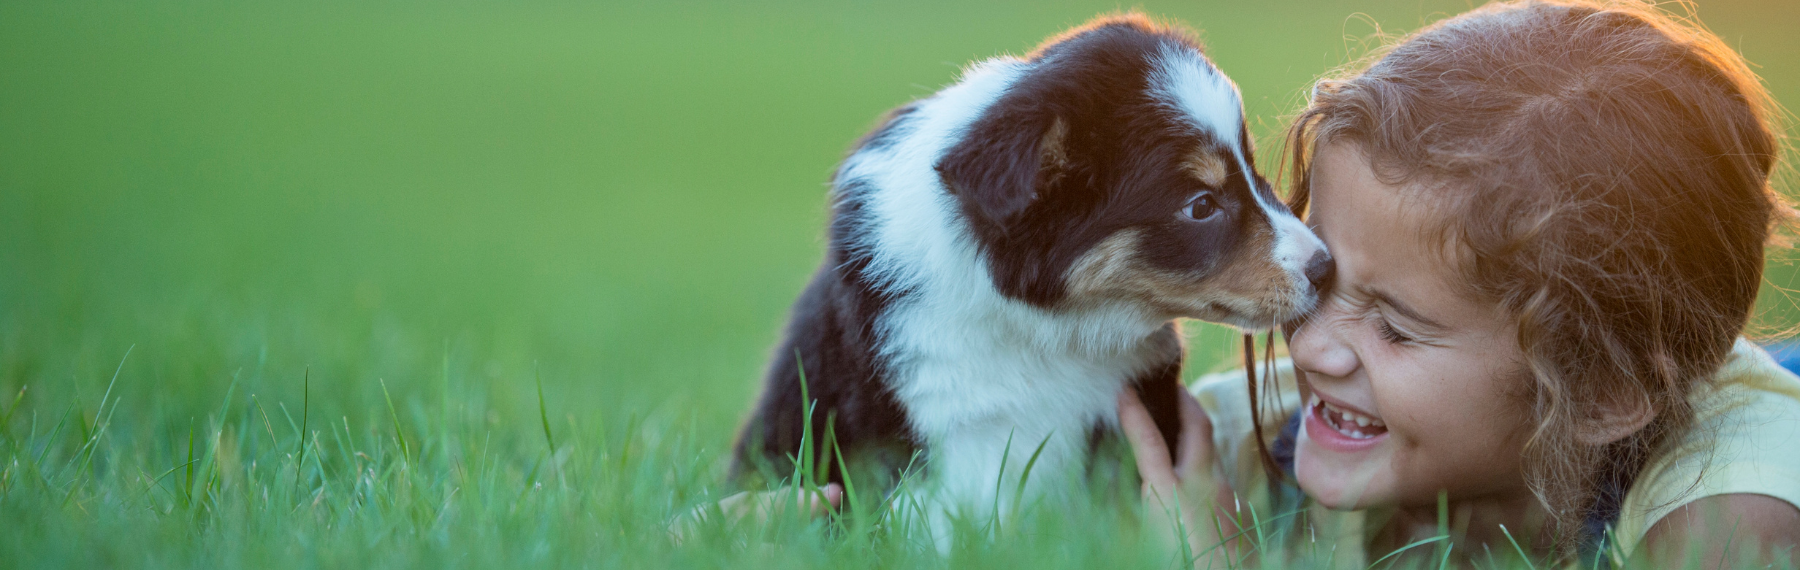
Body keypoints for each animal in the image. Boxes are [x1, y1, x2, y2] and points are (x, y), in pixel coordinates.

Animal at [730, 13, 1339, 528]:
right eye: (1201, 205)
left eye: (1252, 170)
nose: (1326, 267)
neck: (1050, 328)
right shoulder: (956, 429)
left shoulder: (1134, 401)